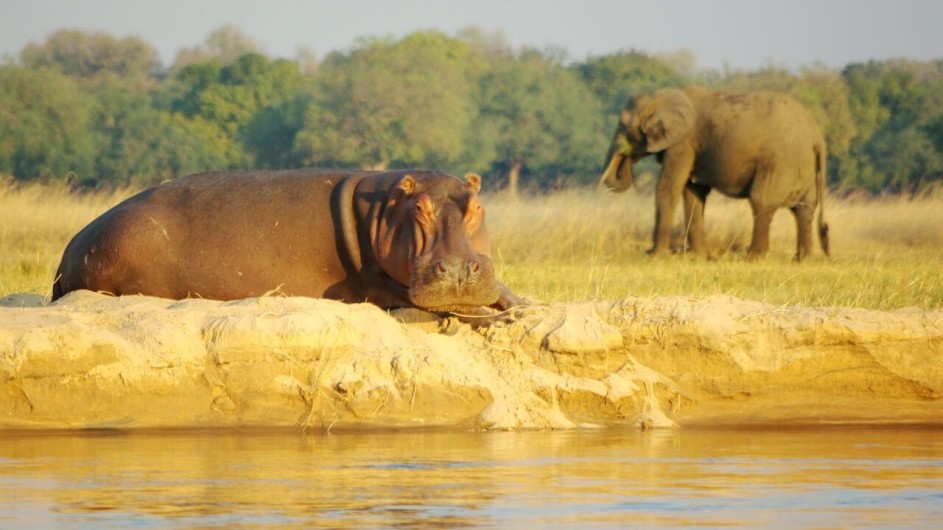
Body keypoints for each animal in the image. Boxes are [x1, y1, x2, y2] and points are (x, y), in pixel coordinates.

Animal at [51, 168, 524, 314]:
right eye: (419, 209)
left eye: (477, 206)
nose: (459, 269)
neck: (384, 206)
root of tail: (70, 248)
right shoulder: (374, 283)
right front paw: (490, 314)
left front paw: (518, 304)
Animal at [600, 85, 828, 258]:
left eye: (623, 126)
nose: (623, 152)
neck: (662, 95)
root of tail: (817, 137)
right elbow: (693, 192)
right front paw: (697, 257)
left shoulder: (683, 142)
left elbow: (669, 187)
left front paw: (656, 256)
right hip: (802, 166)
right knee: (804, 209)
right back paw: (802, 259)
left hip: (780, 162)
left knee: (762, 200)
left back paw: (752, 257)